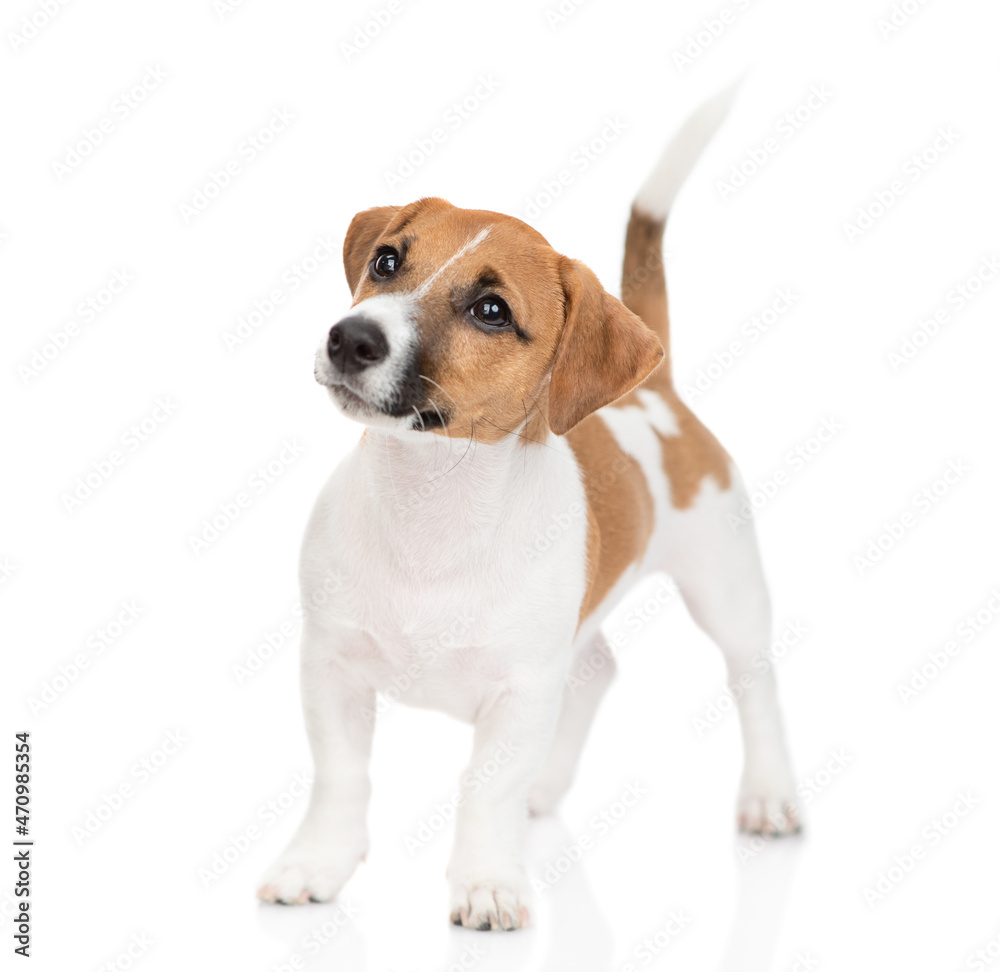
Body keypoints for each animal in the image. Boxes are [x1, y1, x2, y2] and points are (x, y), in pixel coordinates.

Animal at [258, 93, 796, 936]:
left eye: (491, 310)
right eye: (388, 261)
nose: (350, 337)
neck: (432, 509)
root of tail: (659, 391)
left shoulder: (518, 696)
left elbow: (486, 787)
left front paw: (487, 882)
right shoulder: (331, 668)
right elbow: (341, 778)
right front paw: (317, 864)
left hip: (727, 587)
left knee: (755, 684)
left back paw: (769, 794)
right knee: (599, 668)